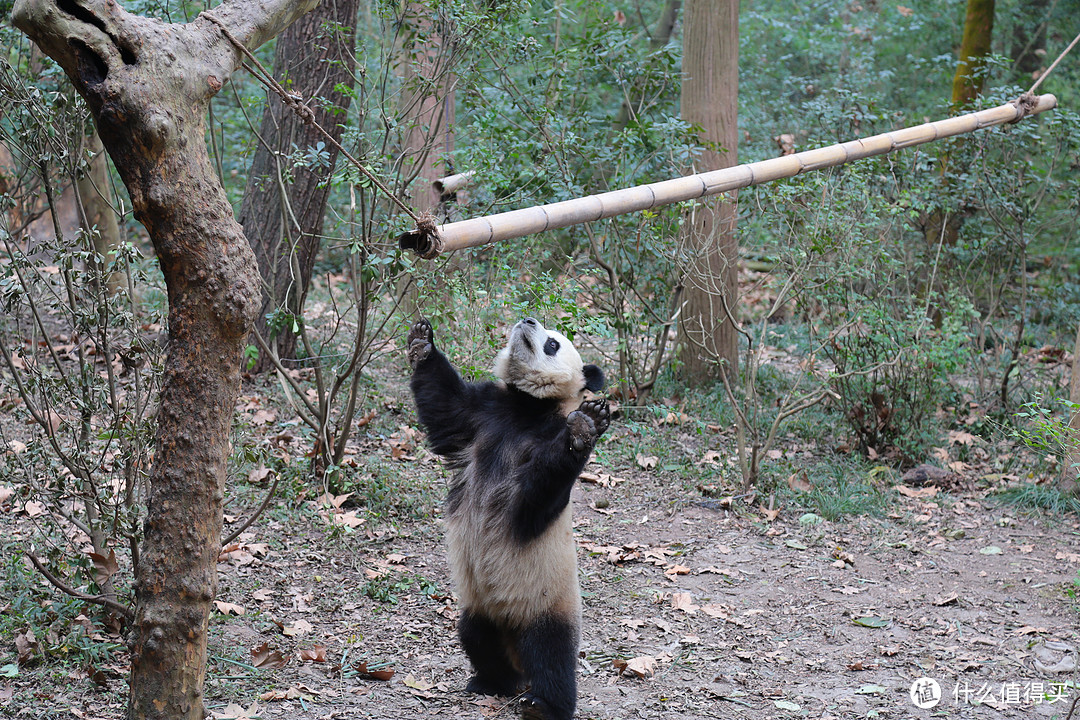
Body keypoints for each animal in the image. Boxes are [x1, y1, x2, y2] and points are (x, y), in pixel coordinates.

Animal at [406, 317, 609, 720]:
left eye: (552, 344)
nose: (527, 320)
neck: (527, 407)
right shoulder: (482, 413)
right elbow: (444, 409)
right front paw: (422, 343)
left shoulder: (543, 437)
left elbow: (540, 493)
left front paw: (585, 427)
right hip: (479, 607)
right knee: (476, 637)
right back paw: (490, 681)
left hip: (547, 601)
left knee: (551, 654)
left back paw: (544, 705)